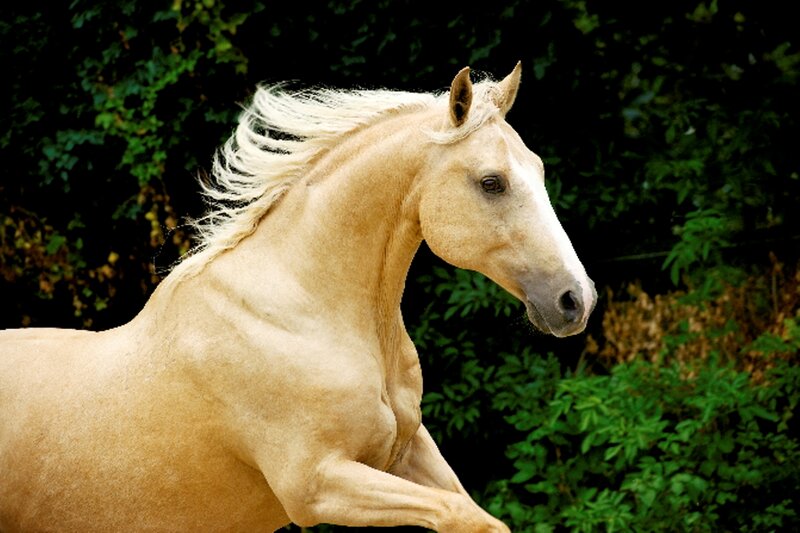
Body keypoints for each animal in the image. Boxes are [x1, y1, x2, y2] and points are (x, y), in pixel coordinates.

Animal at [0, 63, 595, 532]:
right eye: (492, 182)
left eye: (538, 170)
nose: (576, 300)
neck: (304, 317)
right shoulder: (316, 483)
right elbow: (464, 517)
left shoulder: (405, 454)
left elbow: (482, 518)